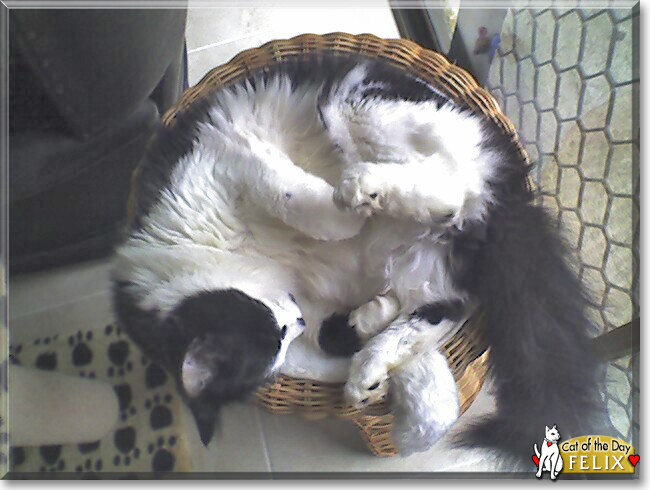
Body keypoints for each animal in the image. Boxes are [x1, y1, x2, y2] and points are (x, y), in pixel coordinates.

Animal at [110, 53, 604, 464]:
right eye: (278, 342)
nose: (295, 320)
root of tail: (512, 192)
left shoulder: (230, 159)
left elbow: (304, 205)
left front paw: (345, 219)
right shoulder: (319, 308)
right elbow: (350, 342)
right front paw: (384, 381)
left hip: (350, 102)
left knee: (452, 181)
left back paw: (364, 188)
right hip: (430, 265)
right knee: (443, 306)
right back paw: (369, 368)